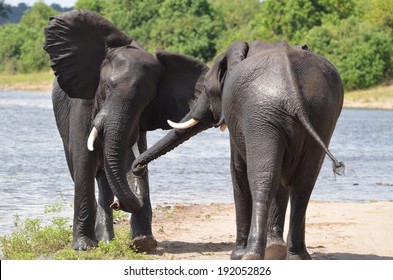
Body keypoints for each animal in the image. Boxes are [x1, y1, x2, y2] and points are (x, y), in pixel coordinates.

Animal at [42, 10, 208, 252]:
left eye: (147, 100)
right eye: (106, 88)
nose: (118, 204)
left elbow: (129, 157)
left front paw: (143, 242)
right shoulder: (83, 103)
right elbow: (84, 161)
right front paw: (84, 247)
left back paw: (107, 239)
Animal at [132, 40, 344, 260]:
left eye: (205, 88)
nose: (137, 168)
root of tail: (292, 89)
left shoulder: (238, 118)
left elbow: (238, 170)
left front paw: (237, 254)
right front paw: (275, 250)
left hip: (263, 114)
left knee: (262, 178)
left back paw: (251, 255)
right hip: (321, 114)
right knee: (303, 184)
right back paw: (297, 256)